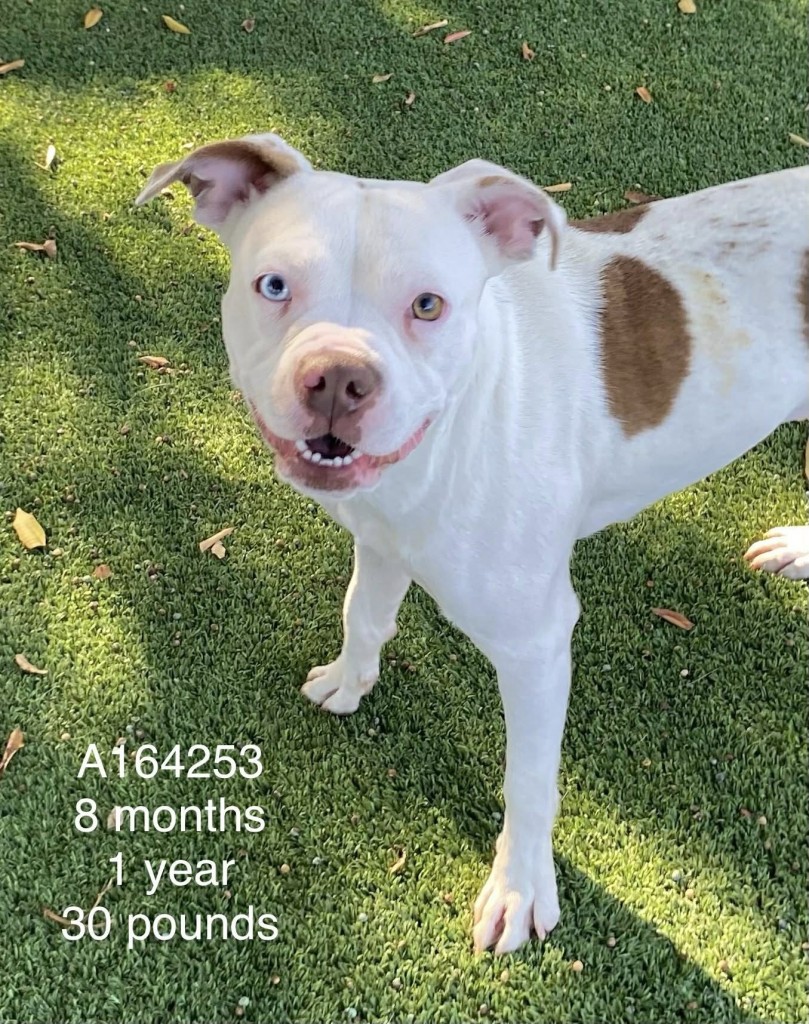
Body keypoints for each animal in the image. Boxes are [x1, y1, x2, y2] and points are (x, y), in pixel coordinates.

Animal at [137, 135, 809, 954]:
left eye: (428, 305)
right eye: (274, 285)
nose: (339, 379)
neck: (451, 432)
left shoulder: (535, 642)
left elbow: (528, 778)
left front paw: (520, 889)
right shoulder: (381, 539)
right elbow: (363, 615)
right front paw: (349, 681)